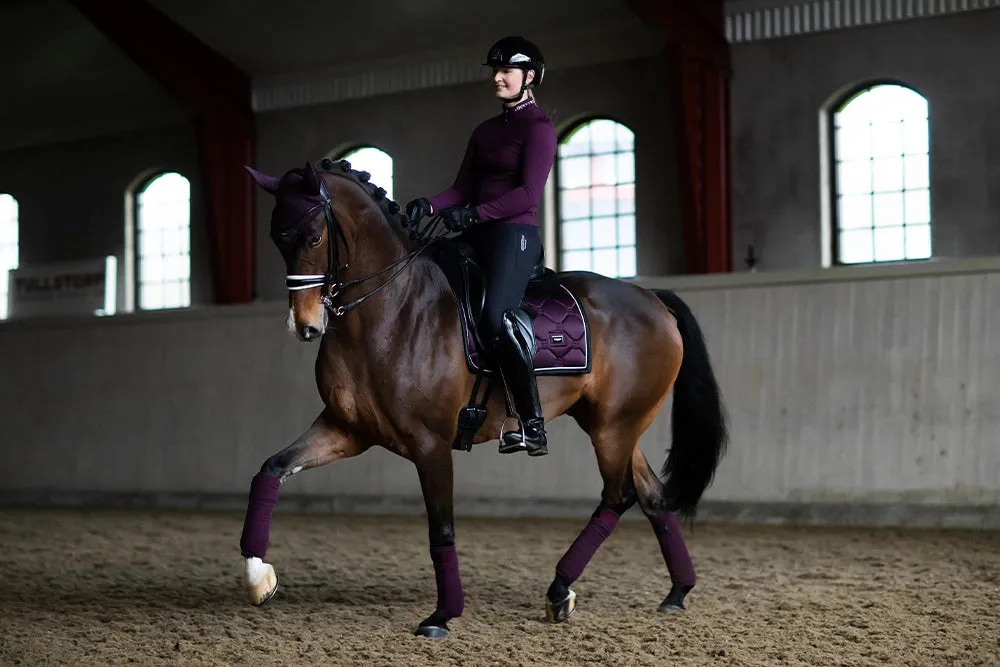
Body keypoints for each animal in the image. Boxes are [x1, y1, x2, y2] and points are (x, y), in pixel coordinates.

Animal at [240, 159, 728, 640]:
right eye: (276, 238)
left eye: (314, 237)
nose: (304, 325)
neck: (391, 310)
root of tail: (652, 299)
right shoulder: (346, 429)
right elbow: (270, 469)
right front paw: (259, 577)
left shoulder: (431, 445)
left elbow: (442, 530)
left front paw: (442, 615)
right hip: (617, 424)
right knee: (652, 496)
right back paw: (675, 592)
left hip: (614, 427)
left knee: (618, 496)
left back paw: (560, 589)